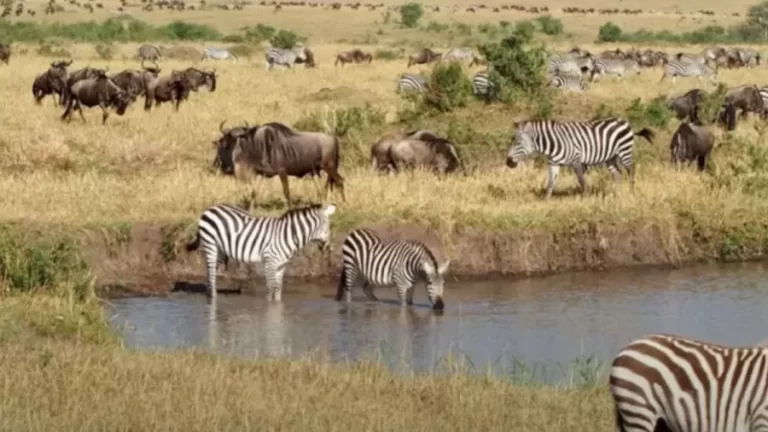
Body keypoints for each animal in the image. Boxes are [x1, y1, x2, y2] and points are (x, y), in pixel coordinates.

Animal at [185, 202, 336, 300]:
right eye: (328, 228)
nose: (328, 248)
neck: (287, 235)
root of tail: (209, 209)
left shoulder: (281, 265)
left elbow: (278, 290)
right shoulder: (270, 262)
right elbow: (270, 288)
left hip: (220, 250)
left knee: (211, 274)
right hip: (210, 244)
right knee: (211, 273)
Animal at [508, 118, 656, 199]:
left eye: (518, 143)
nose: (508, 162)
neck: (553, 143)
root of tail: (625, 122)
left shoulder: (576, 160)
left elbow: (581, 180)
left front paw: (585, 197)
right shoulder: (553, 163)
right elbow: (551, 182)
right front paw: (546, 199)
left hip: (624, 151)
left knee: (631, 169)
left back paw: (631, 192)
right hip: (610, 158)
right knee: (617, 174)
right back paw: (616, 194)